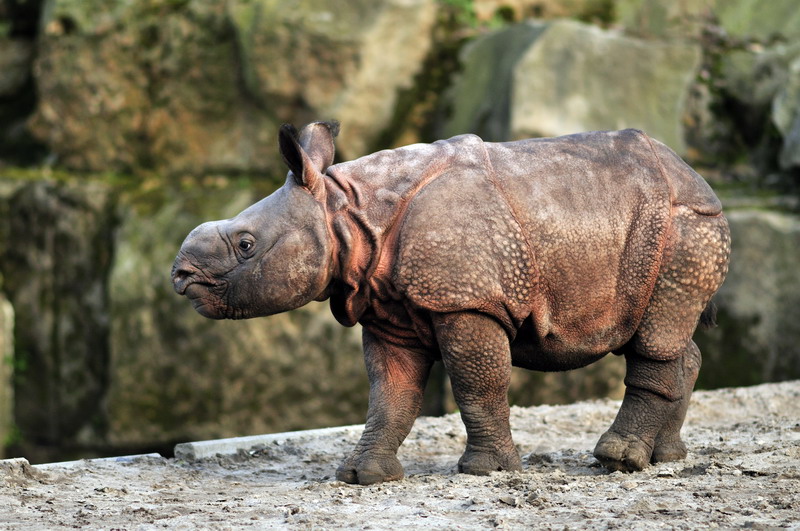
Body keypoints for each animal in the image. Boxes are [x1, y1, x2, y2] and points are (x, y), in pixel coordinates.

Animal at [172, 121, 730, 485]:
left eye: (246, 244)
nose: (181, 276)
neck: (347, 212)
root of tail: (700, 178)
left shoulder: (465, 300)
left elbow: (476, 383)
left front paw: (487, 471)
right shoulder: (387, 308)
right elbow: (389, 395)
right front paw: (362, 475)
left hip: (683, 224)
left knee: (655, 337)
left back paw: (617, 460)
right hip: (661, 226)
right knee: (668, 332)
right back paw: (665, 457)